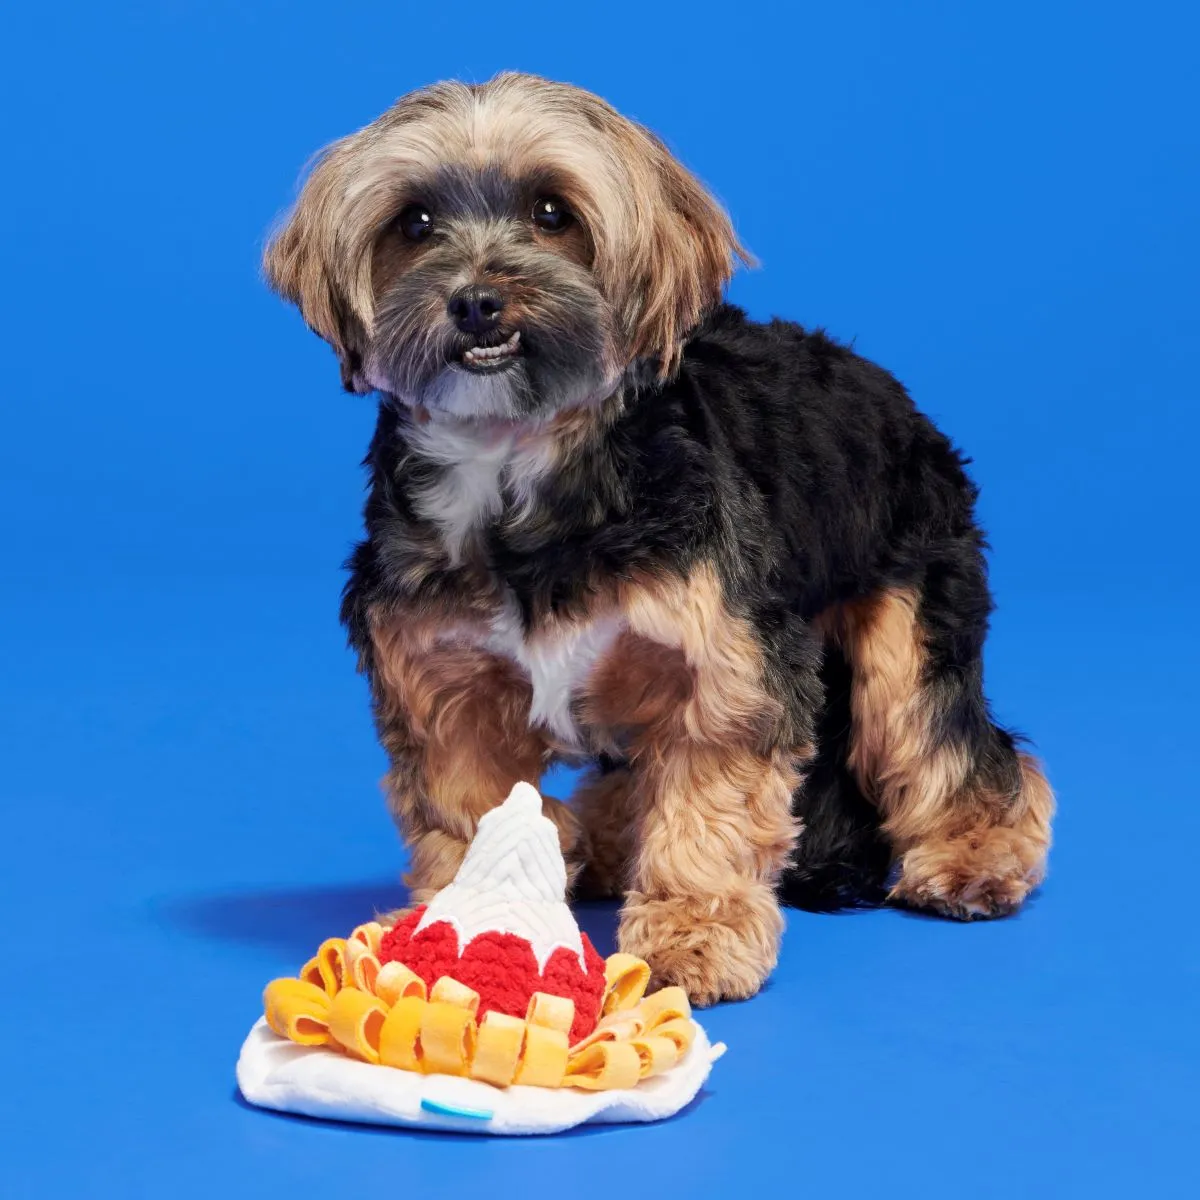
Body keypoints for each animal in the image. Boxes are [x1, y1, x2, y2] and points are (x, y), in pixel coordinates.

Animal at [262, 72, 1051, 1003]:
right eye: (414, 223)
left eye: (552, 213)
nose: (477, 300)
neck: (517, 469)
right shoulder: (442, 684)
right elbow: (468, 808)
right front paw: (463, 926)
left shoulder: (726, 671)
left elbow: (708, 806)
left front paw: (692, 933)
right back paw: (588, 844)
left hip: (908, 620)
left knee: (957, 745)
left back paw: (976, 855)